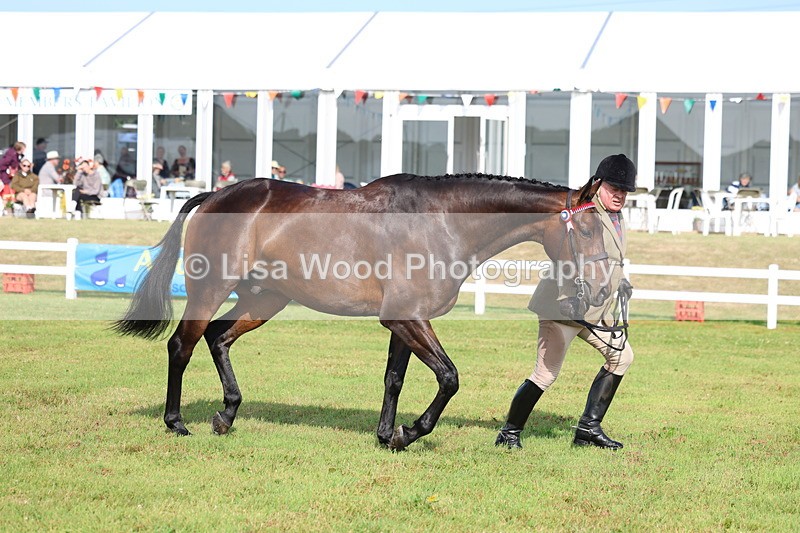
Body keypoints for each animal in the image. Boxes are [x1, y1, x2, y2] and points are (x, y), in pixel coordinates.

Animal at [113, 173, 610, 451]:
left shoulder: (406, 321)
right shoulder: (406, 318)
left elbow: (395, 378)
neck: (442, 221)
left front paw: (387, 435)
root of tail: (215, 196)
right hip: (212, 288)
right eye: (587, 229)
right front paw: (410, 432)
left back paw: (227, 413)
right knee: (182, 344)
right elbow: (449, 377)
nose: (603, 288)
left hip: (264, 298)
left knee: (218, 337)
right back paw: (177, 423)